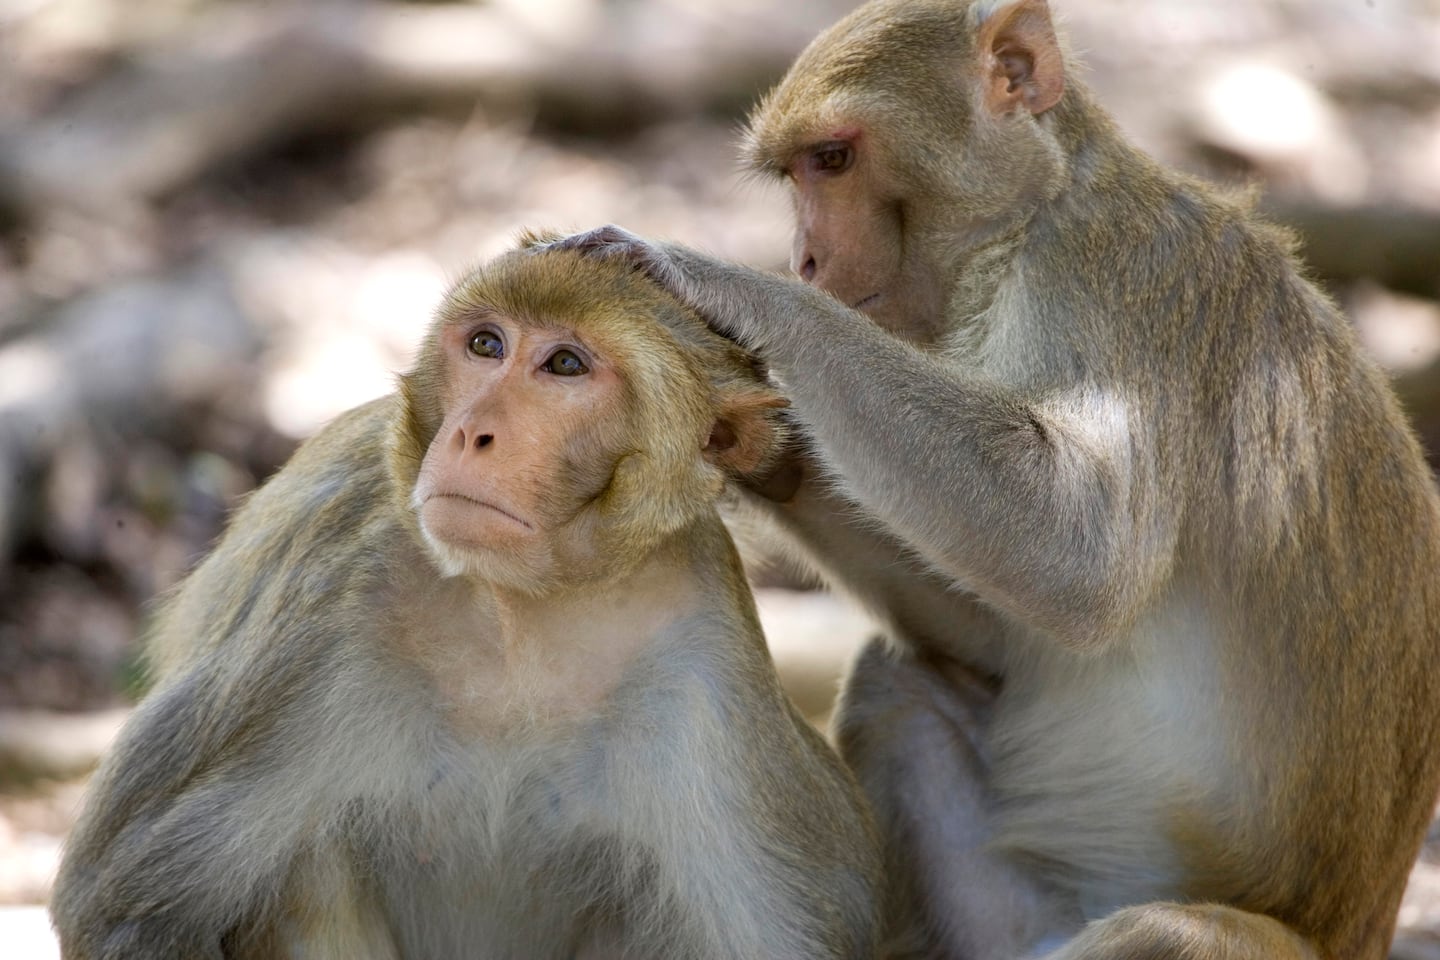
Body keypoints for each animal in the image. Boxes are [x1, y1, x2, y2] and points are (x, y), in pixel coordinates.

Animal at [50, 240, 881, 960]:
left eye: (566, 364)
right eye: (486, 345)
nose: (471, 432)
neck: (526, 611)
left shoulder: (707, 664)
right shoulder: (329, 598)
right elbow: (123, 904)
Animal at [544, 1, 1440, 960]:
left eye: (833, 159)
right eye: (798, 172)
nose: (807, 258)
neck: (1027, 224)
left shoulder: (1110, 280)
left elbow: (1078, 555)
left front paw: (722, 286)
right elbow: (993, 636)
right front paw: (754, 444)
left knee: (1166, 933)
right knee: (900, 685)